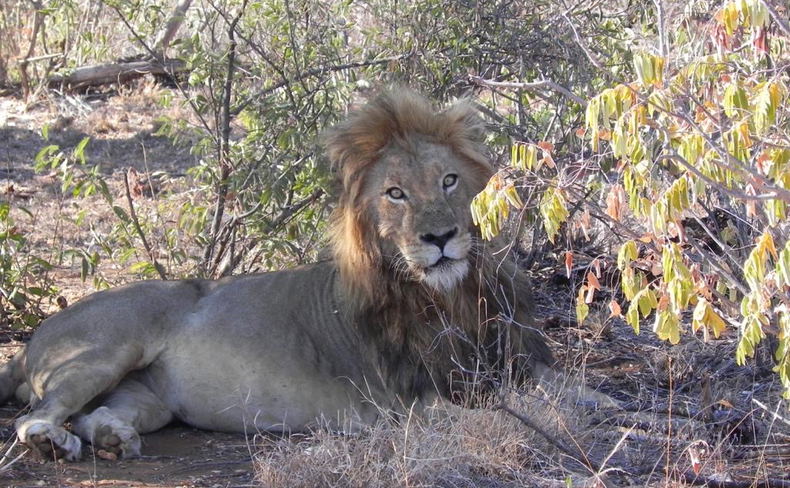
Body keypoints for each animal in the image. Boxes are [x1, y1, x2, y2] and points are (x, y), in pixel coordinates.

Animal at [0, 89, 554, 461]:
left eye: (449, 180)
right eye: (395, 193)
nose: (439, 237)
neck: (448, 297)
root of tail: (30, 342)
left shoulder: (519, 363)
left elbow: (558, 393)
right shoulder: (410, 404)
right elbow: (504, 418)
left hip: (145, 398)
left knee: (96, 414)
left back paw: (114, 439)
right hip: (106, 351)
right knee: (34, 417)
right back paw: (53, 443)